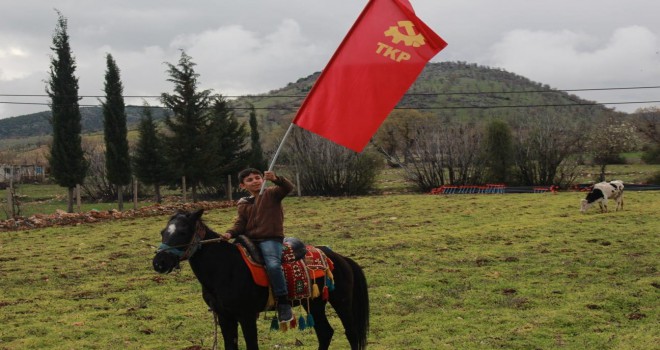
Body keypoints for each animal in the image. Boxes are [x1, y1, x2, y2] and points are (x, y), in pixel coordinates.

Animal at [154, 209, 368, 348]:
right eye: (163, 232)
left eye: (183, 232)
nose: (159, 263)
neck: (225, 268)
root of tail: (340, 258)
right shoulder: (224, 316)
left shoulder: (246, 315)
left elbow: (252, 345)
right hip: (314, 304)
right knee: (325, 333)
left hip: (341, 302)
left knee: (351, 333)